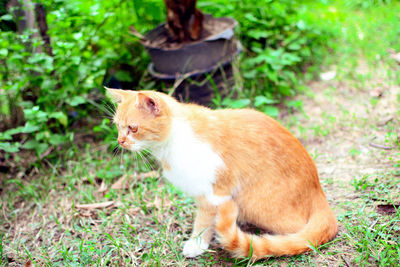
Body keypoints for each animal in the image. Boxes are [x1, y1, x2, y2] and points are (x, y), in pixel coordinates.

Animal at [106, 89, 338, 260]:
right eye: (117, 127)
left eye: (133, 128)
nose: (120, 141)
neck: (173, 141)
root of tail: (318, 191)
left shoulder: (215, 192)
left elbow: (204, 221)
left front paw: (197, 244)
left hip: (253, 202)